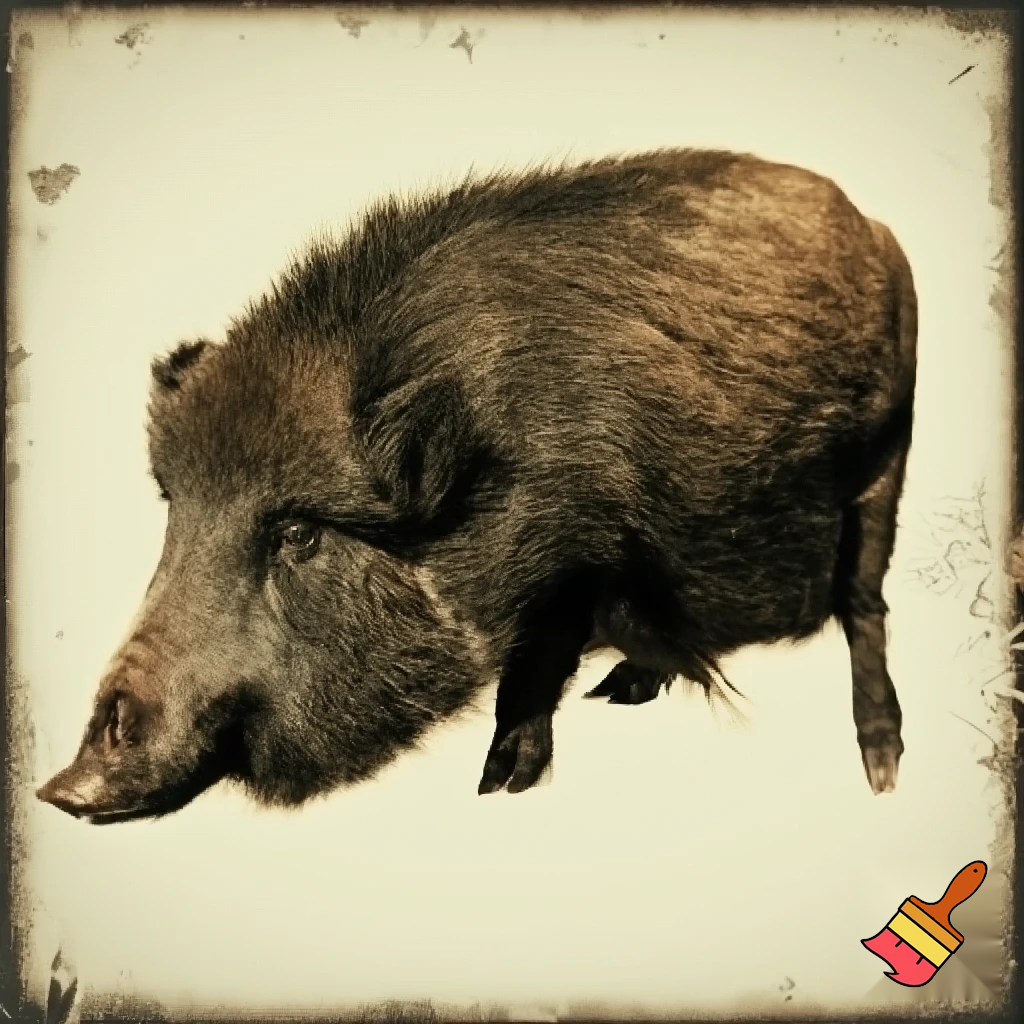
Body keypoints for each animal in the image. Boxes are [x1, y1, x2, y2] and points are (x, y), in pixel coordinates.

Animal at [36, 147, 916, 824]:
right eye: (175, 509)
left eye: (298, 532)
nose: (61, 789)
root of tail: (871, 225)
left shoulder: (575, 563)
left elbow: (530, 675)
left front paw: (498, 789)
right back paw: (621, 693)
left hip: (888, 459)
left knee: (866, 604)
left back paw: (882, 771)